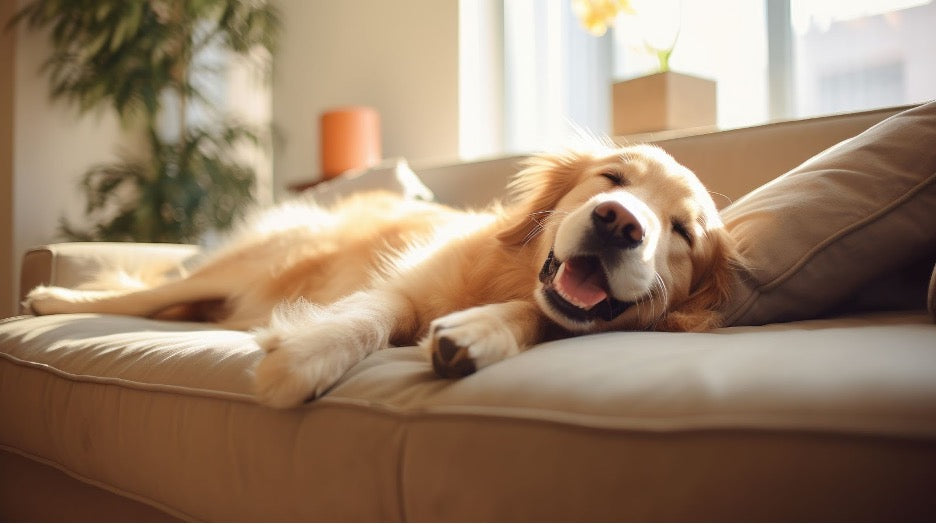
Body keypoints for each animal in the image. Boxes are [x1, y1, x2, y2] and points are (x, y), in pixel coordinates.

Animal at [25, 144, 740, 410]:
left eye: (683, 232)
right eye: (612, 179)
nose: (619, 223)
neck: (504, 277)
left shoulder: (550, 309)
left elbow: (541, 316)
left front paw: (478, 335)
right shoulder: (401, 287)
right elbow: (370, 317)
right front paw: (306, 357)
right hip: (249, 263)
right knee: (148, 292)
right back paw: (52, 296)